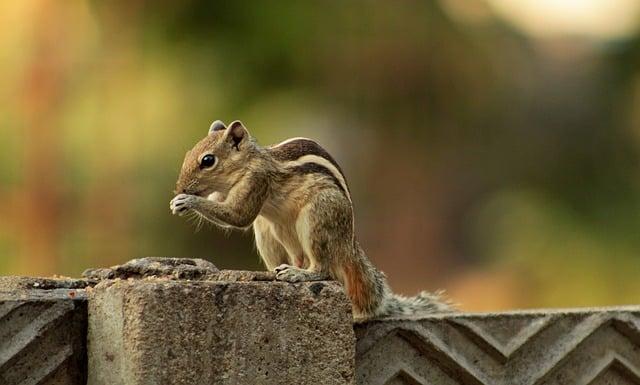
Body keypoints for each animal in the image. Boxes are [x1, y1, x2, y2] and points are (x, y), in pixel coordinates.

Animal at [169, 119, 450, 318]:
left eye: (208, 160)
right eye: (187, 155)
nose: (179, 188)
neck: (248, 162)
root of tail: (349, 245)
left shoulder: (257, 180)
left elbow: (239, 215)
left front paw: (187, 201)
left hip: (317, 218)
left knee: (322, 270)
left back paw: (300, 275)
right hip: (270, 232)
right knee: (297, 257)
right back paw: (278, 272)